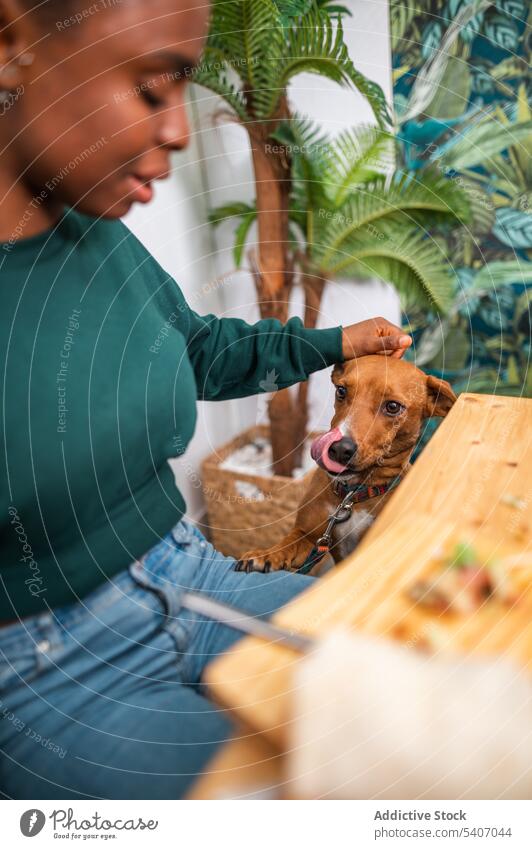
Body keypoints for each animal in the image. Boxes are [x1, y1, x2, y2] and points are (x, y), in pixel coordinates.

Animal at [235, 354, 456, 572]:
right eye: (341, 391)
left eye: (393, 407)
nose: (339, 449)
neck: (351, 497)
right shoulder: (309, 536)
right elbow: (288, 542)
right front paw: (266, 554)